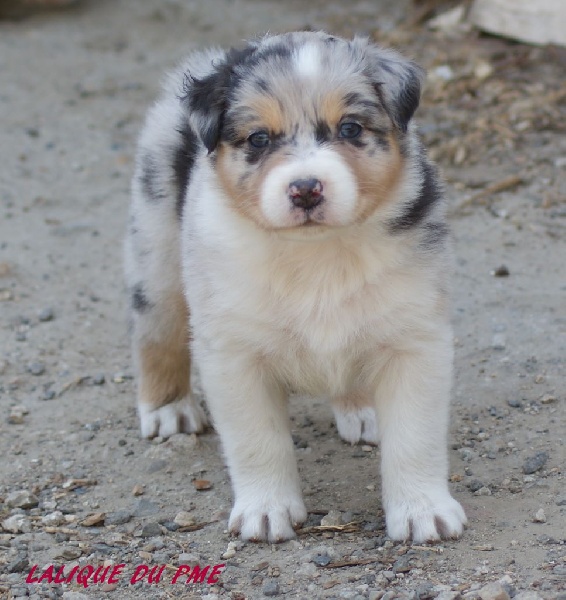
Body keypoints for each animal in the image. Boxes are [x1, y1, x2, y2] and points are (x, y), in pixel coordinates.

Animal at [124, 31, 467, 544]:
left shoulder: (415, 338)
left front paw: (423, 510)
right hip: (158, 251)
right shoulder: (234, 352)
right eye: (259, 139)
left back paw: (361, 408)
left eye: (350, 129)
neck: (318, 254)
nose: (306, 188)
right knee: (157, 332)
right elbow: (258, 440)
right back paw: (169, 410)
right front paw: (266, 510)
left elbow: (414, 437)